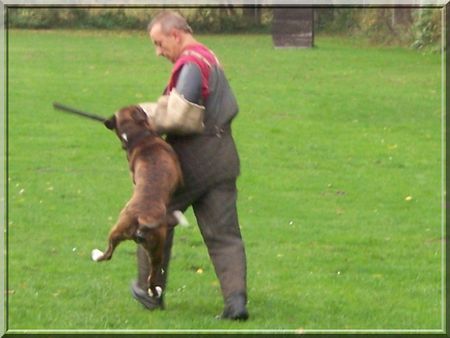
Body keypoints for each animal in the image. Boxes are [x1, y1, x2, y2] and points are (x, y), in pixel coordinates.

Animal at [90, 105, 182, 298]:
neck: (139, 137)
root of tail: (141, 219)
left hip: (121, 233)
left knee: (111, 255)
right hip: (156, 246)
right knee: (149, 275)